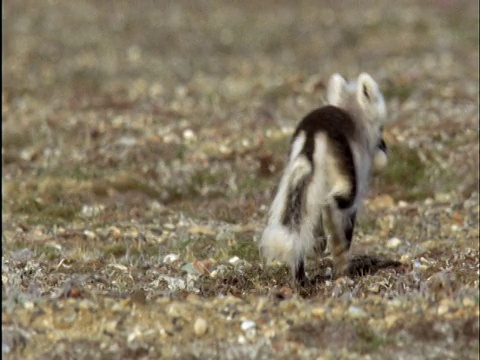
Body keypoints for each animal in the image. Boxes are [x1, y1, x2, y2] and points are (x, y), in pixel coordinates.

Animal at [260, 73, 388, 286]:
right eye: (381, 127)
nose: (385, 152)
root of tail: (314, 133)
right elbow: (346, 230)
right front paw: (342, 268)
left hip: (296, 174)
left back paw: (301, 279)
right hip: (346, 181)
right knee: (333, 203)